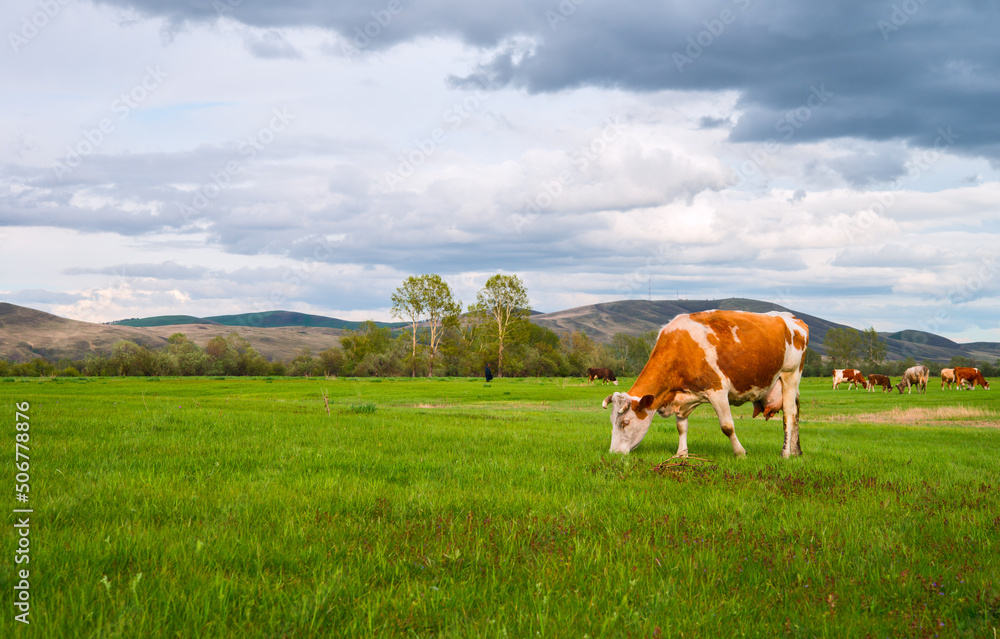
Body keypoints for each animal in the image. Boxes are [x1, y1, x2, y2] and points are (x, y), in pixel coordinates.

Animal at [602, 310, 809, 458]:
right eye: (612, 421)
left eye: (625, 422)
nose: (614, 454)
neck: (680, 347)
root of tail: (791, 317)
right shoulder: (682, 397)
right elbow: (681, 427)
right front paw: (681, 454)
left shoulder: (718, 391)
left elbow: (727, 426)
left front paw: (740, 453)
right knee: (796, 414)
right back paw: (796, 451)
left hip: (790, 376)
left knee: (789, 415)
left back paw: (785, 453)